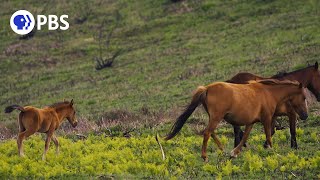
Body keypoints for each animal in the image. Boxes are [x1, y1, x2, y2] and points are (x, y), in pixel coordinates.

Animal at [165, 79, 308, 161]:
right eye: (304, 97)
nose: (305, 115)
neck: (269, 93)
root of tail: (207, 88)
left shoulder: (251, 122)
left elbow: (244, 137)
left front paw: (234, 153)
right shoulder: (267, 118)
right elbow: (268, 135)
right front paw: (271, 151)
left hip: (214, 117)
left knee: (211, 132)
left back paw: (222, 150)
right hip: (216, 117)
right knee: (207, 132)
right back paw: (205, 156)